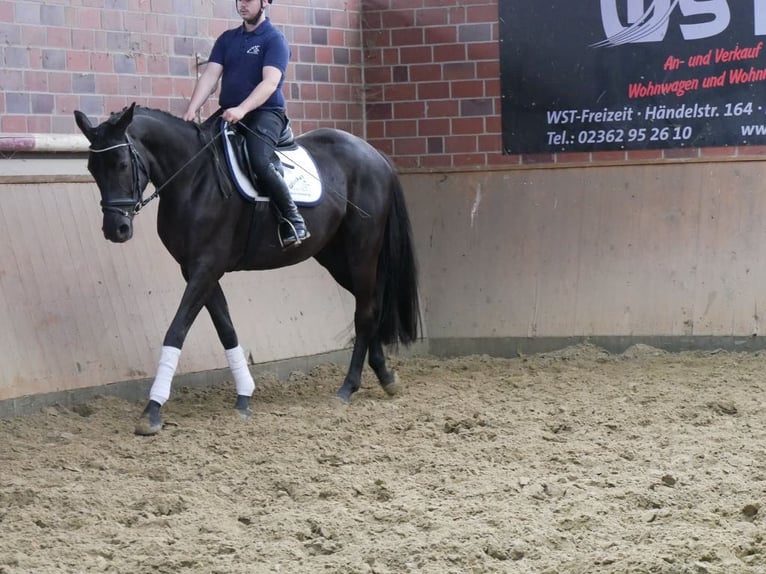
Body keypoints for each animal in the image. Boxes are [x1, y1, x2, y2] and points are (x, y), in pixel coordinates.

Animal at [73, 103, 420, 436]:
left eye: (121, 163)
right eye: (92, 168)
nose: (116, 229)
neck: (193, 177)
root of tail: (374, 154)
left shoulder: (206, 266)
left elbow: (177, 330)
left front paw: (152, 410)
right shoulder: (197, 269)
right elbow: (226, 328)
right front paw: (244, 396)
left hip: (361, 249)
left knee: (365, 312)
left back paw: (347, 387)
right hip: (335, 256)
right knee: (371, 306)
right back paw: (385, 377)